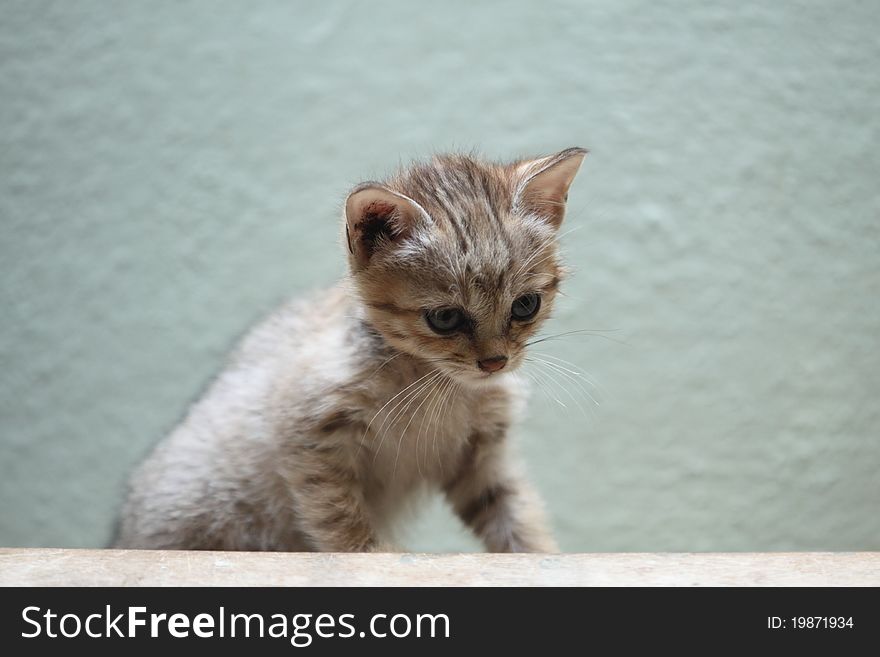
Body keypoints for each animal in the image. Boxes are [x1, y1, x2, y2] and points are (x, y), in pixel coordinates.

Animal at [115, 146, 584, 552]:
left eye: (525, 305)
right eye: (445, 318)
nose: (495, 362)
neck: (435, 383)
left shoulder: (481, 457)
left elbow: (514, 512)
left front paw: (541, 556)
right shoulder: (307, 433)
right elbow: (337, 514)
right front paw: (372, 555)